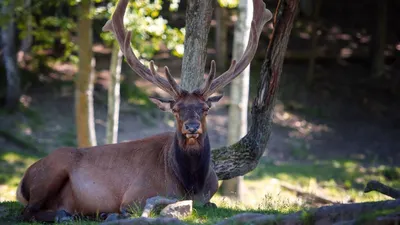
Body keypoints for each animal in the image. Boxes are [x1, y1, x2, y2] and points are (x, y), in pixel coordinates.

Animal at [15, 0, 272, 222]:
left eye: (205, 108)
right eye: (176, 109)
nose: (192, 127)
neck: (191, 185)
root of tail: (23, 180)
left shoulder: (209, 195)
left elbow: (213, 203)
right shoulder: (135, 195)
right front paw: (112, 213)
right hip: (52, 170)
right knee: (28, 211)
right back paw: (71, 215)